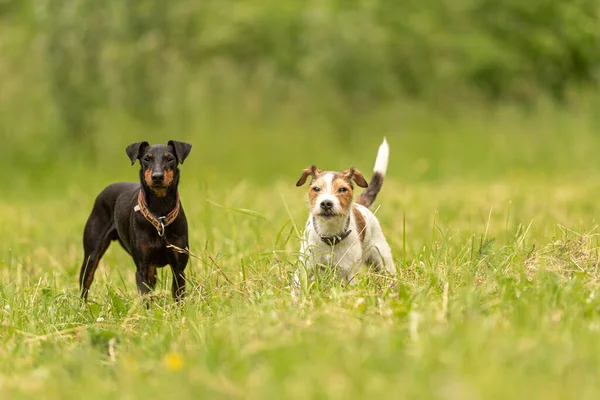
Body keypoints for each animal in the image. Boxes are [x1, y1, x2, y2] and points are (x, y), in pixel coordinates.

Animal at [79, 140, 192, 300]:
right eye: (146, 159)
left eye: (170, 158)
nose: (157, 177)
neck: (160, 214)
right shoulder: (142, 269)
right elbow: (145, 298)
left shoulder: (178, 269)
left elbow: (178, 298)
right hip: (91, 255)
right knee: (85, 285)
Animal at [292, 138, 396, 290]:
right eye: (316, 189)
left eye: (342, 189)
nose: (326, 203)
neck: (330, 235)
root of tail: (360, 205)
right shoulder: (305, 266)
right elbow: (298, 283)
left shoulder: (348, 272)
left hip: (382, 259)